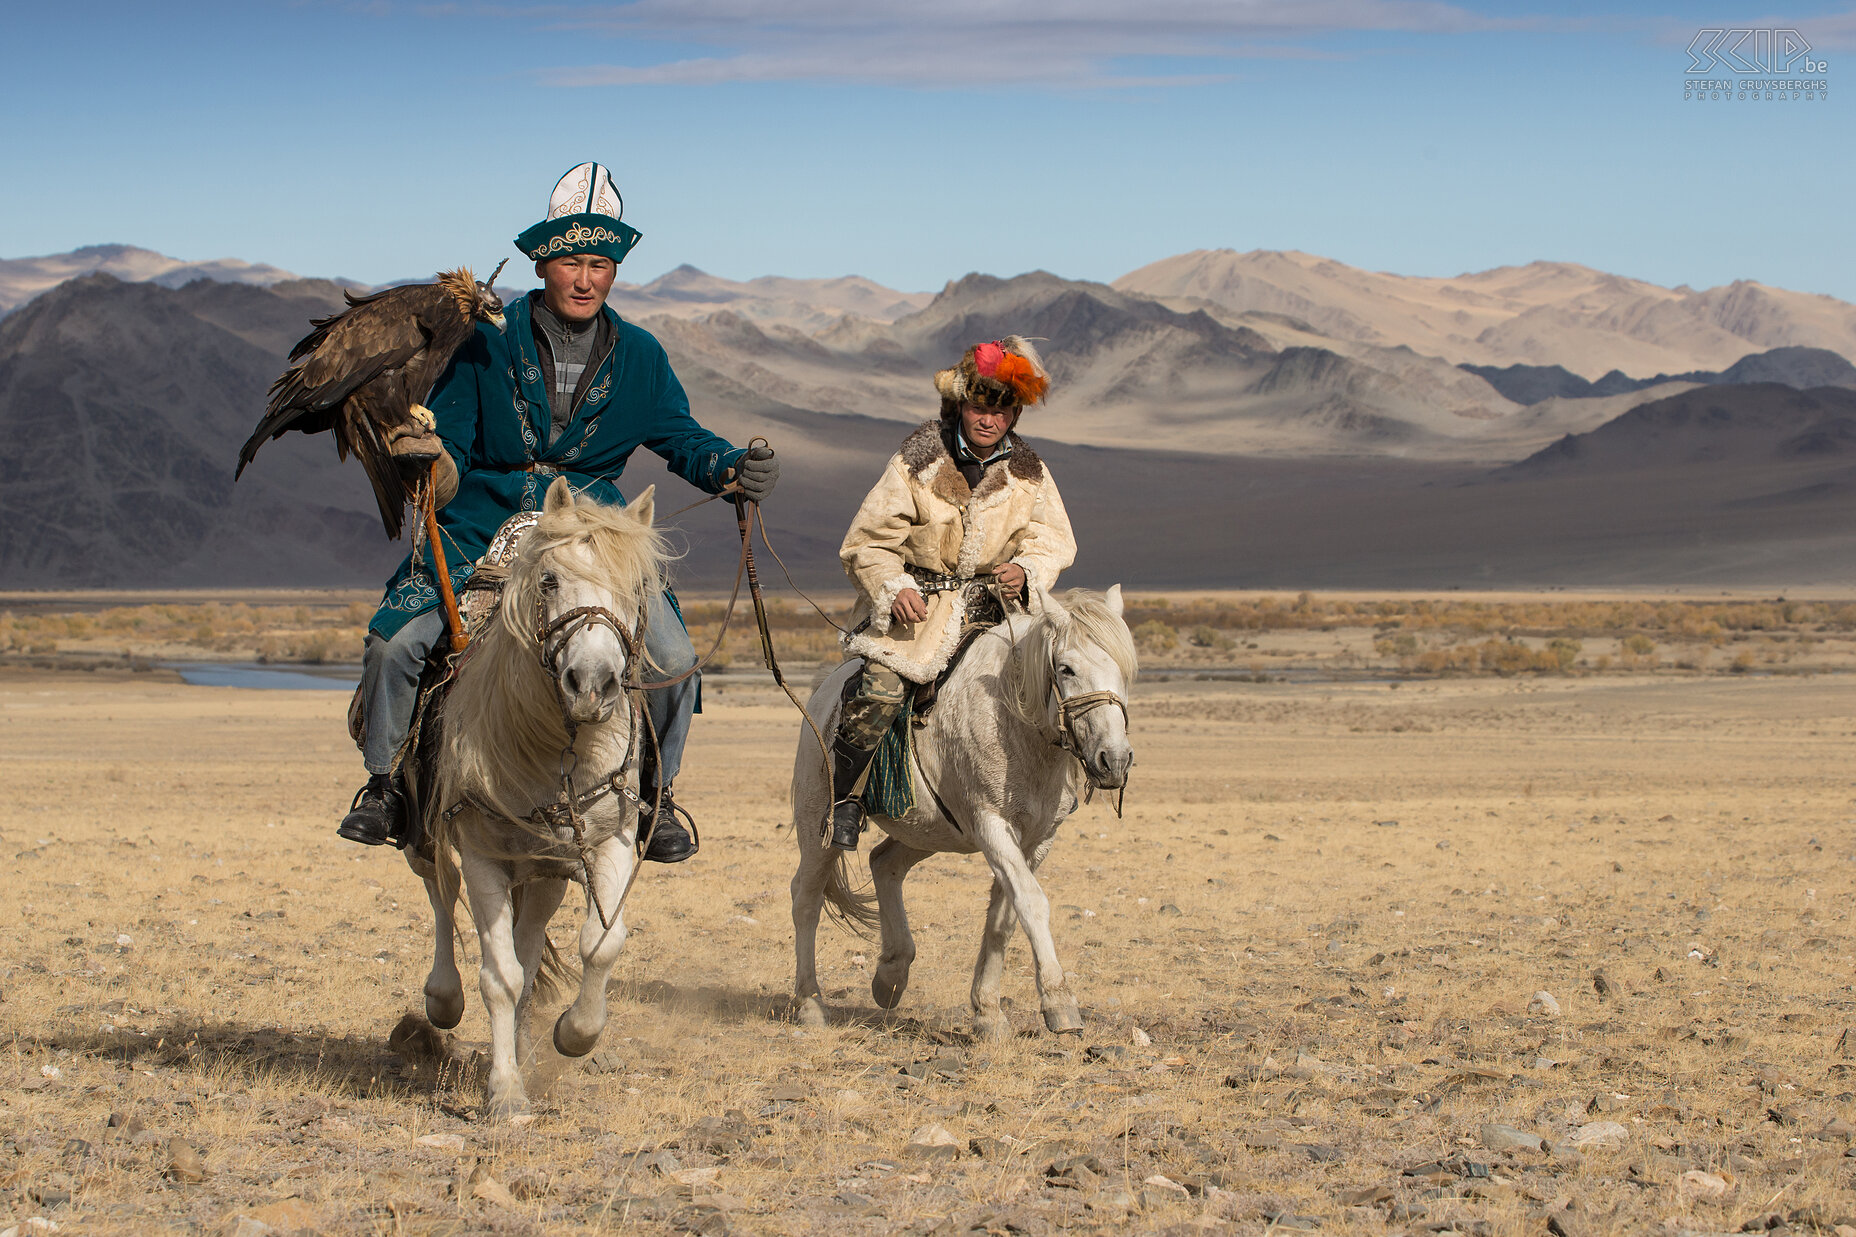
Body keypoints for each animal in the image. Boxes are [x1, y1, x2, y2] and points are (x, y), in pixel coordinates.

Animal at [410, 475, 664, 1114]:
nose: (591, 685)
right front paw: (504, 1093)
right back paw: (443, 1000)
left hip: (545, 870)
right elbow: (499, 976)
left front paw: (574, 1035)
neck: (555, 748)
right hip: (428, 838)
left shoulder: (609, 843)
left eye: (639, 587)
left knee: (528, 947)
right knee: (440, 896)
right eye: (549, 580)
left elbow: (602, 943)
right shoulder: (483, 857)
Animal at [783, 583, 1128, 1032]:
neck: (1014, 718)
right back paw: (811, 1004)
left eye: (1123, 668)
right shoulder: (991, 826)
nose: (1114, 760)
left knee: (884, 862)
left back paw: (892, 974)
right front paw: (1059, 1001)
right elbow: (1031, 902)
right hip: (818, 826)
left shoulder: (1037, 841)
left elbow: (1004, 918)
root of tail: (823, 694)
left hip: (928, 828)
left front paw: (987, 1011)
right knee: (806, 897)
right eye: (1066, 669)